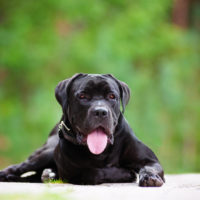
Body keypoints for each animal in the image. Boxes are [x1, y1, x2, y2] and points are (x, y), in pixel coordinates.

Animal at [0, 73, 164, 186]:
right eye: (83, 96)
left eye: (112, 96)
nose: (100, 112)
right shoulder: (73, 173)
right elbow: (93, 173)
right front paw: (124, 173)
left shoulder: (149, 160)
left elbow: (150, 168)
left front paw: (150, 177)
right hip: (45, 154)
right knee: (21, 167)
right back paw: (7, 174)